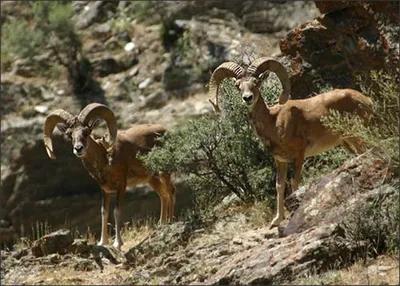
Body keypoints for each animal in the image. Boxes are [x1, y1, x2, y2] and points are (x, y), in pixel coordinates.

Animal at [43, 103, 176, 248]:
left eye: (87, 131)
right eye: (69, 134)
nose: (78, 149)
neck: (105, 158)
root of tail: (166, 131)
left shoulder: (121, 185)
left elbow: (116, 211)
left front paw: (117, 243)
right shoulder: (105, 190)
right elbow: (104, 212)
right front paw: (103, 242)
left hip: (164, 172)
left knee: (171, 191)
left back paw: (171, 222)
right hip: (152, 179)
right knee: (163, 195)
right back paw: (162, 224)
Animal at [208, 57, 374, 228]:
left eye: (257, 82)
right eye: (238, 85)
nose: (247, 98)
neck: (273, 121)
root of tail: (366, 100)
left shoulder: (299, 155)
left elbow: (294, 182)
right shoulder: (281, 161)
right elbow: (280, 186)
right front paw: (276, 220)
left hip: (358, 135)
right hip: (348, 142)